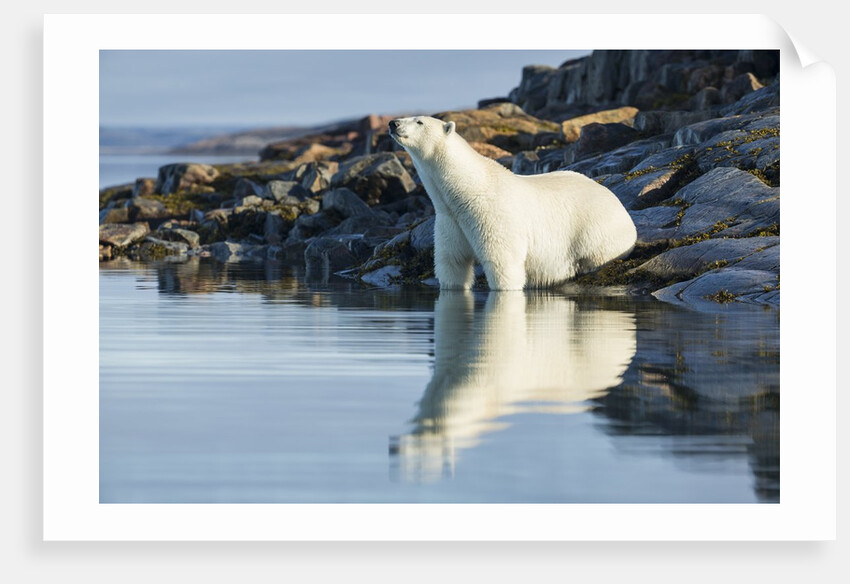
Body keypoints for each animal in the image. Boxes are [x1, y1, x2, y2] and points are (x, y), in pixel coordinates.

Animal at [388, 115, 637, 290]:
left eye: (419, 121)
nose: (393, 123)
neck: (467, 188)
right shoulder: (450, 219)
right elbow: (452, 262)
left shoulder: (491, 214)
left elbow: (503, 261)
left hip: (596, 229)